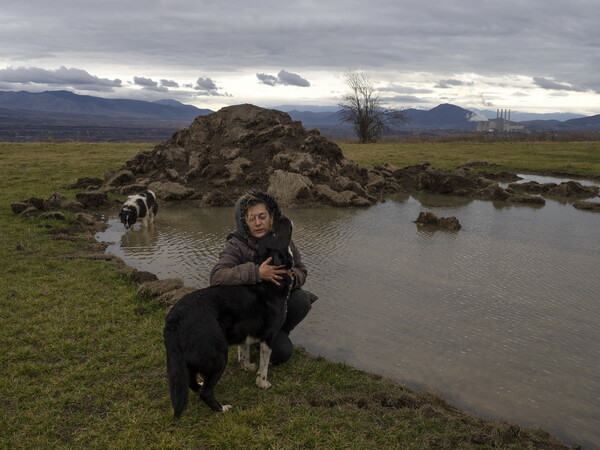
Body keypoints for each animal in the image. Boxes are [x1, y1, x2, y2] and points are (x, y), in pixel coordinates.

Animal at [163, 216, 294, 416]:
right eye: (272, 232)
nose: (282, 217)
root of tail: (174, 319)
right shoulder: (268, 336)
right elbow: (264, 365)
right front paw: (262, 383)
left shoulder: (246, 330)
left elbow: (244, 351)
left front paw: (247, 366)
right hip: (217, 355)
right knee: (206, 392)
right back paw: (222, 408)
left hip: (189, 359)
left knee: (192, 383)